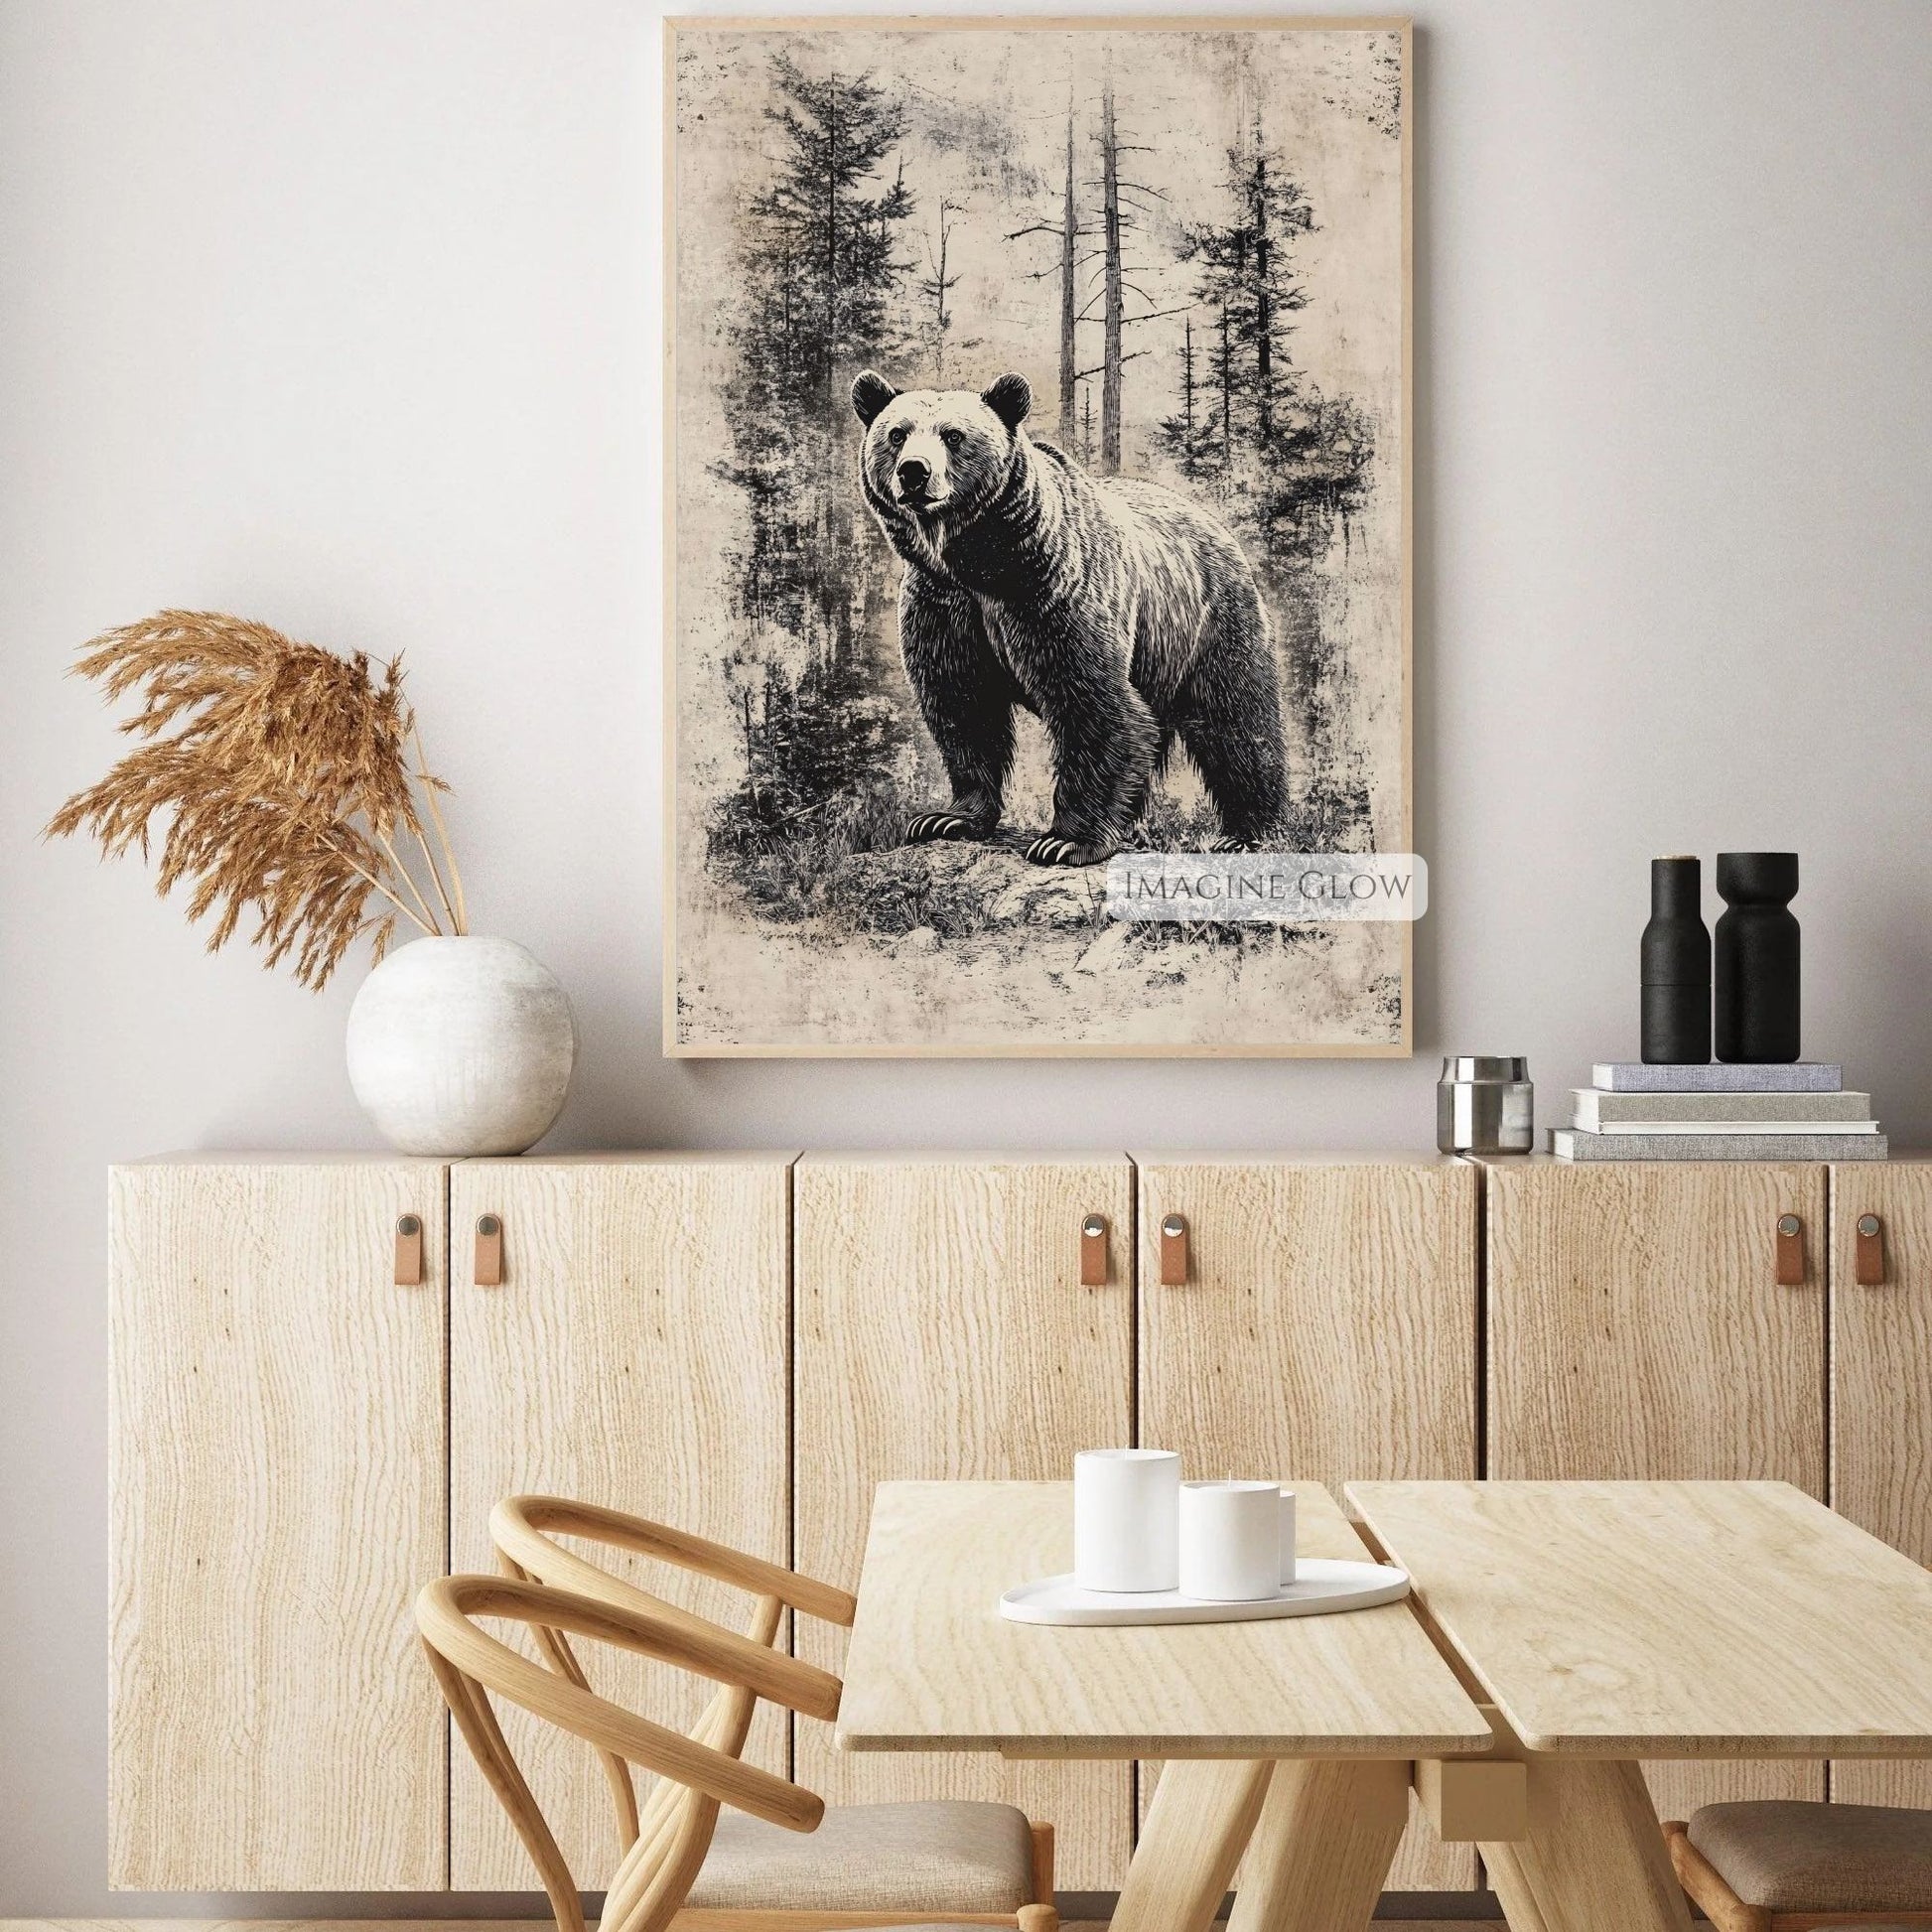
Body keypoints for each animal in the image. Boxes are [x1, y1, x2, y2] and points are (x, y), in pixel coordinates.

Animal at [852, 367, 1287, 867]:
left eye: (954, 435)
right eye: (896, 434)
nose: (914, 471)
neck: (981, 560)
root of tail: (1213, 522)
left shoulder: (1052, 593)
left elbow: (1094, 705)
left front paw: (1066, 840)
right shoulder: (944, 604)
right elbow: (963, 704)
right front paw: (947, 818)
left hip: (1208, 620)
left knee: (1235, 720)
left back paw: (1246, 832)